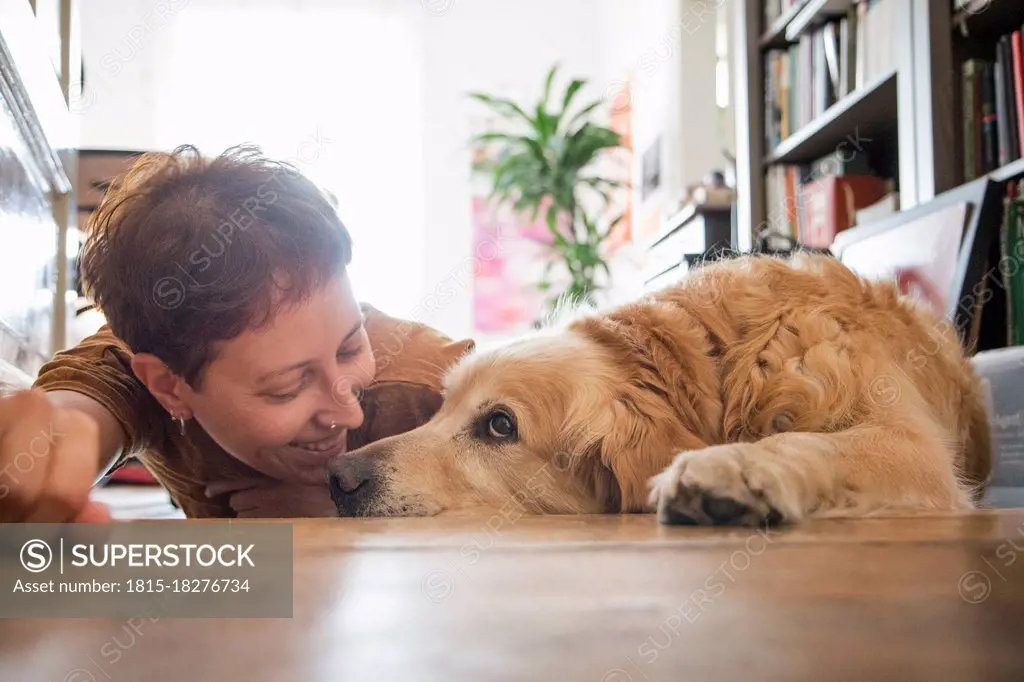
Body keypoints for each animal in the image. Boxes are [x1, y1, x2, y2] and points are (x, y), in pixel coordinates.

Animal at [327, 251, 991, 522]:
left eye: (499, 425)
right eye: (441, 408)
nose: (340, 478)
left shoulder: (914, 448)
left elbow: (809, 441)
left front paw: (734, 467)